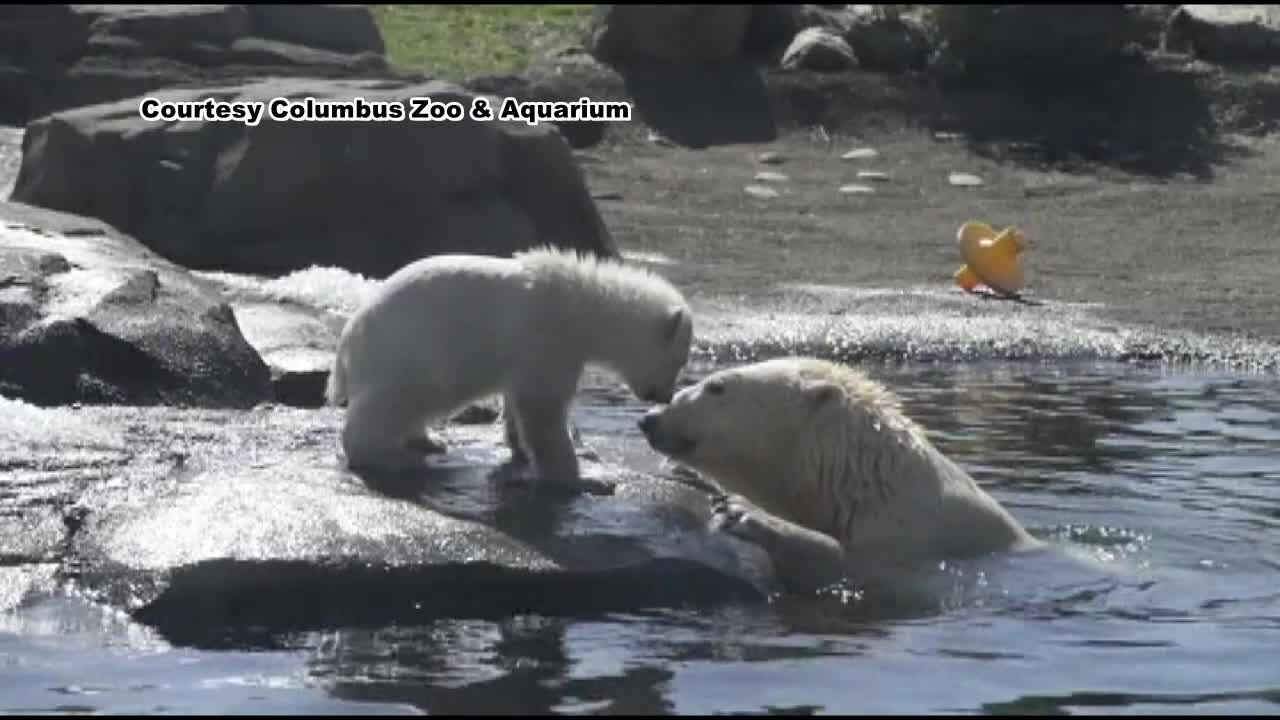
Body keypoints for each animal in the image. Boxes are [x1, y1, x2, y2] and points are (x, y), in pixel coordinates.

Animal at [326, 246, 694, 495]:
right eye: (679, 361)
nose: (665, 395)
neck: (583, 304)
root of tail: (346, 344)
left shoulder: (530, 352)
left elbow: (518, 400)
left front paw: (518, 449)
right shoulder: (550, 338)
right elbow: (543, 409)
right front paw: (589, 480)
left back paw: (428, 441)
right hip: (407, 351)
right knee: (395, 401)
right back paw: (393, 456)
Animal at [637, 356, 1041, 594]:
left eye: (717, 386)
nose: (649, 419)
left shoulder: (906, 540)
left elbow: (841, 565)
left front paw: (745, 513)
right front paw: (688, 475)